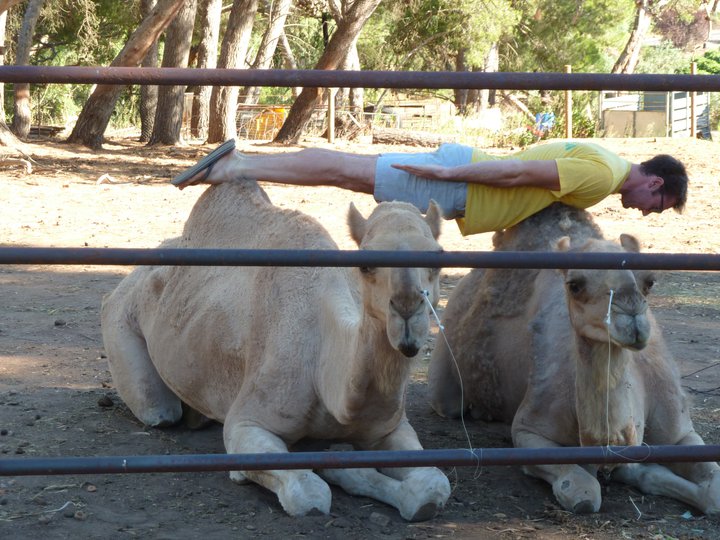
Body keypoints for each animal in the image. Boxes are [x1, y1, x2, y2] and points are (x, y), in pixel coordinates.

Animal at [101, 182, 450, 524]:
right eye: (365, 264)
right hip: (121, 321)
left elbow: (433, 485)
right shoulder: (246, 423)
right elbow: (310, 494)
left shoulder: (390, 428)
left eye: (439, 257)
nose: (407, 308)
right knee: (160, 411)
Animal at [428, 202, 720, 516]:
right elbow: (583, 492)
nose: (632, 318)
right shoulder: (529, 430)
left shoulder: (680, 434)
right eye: (575, 285)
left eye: (650, 281)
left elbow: (713, 491)